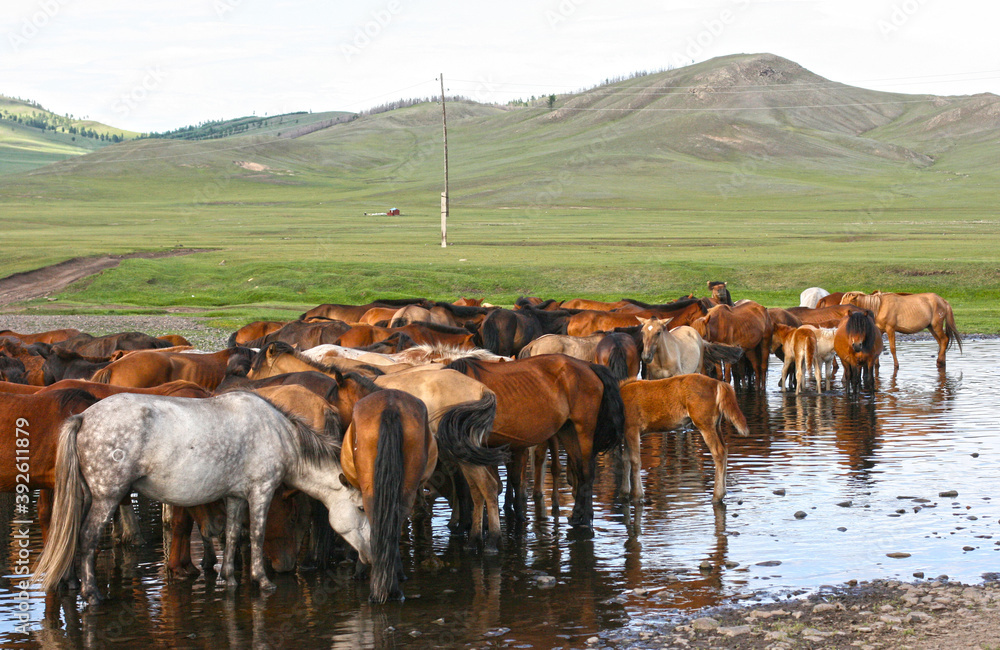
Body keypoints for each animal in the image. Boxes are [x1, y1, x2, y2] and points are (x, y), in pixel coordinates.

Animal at [33, 391, 371, 603]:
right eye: (360, 508)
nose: (369, 556)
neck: (280, 434)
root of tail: (83, 418)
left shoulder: (236, 497)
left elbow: (233, 535)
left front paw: (229, 579)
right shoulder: (261, 492)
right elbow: (257, 536)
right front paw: (262, 581)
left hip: (87, 497)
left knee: (73, 536)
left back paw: (71, 584)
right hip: (107, 497)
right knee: (88, 539)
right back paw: (92, 594)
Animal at [444, 355, 625, 529]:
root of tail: (588, 365)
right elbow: (469, 486)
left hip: (584, 430)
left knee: (587, 471)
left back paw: (586, 520)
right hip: (568, 430)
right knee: (579, 469)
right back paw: (576, 515)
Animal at [618, 375, 748, 504]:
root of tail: (718, 383)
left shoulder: (632, 429)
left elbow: (635, 461)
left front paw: (637, 495)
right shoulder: (626, 434)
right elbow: (625, 459)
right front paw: (624, 492)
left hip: (704, 424)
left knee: (718, 452)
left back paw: (717, 495)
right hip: (716, 425)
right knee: (725, 450)